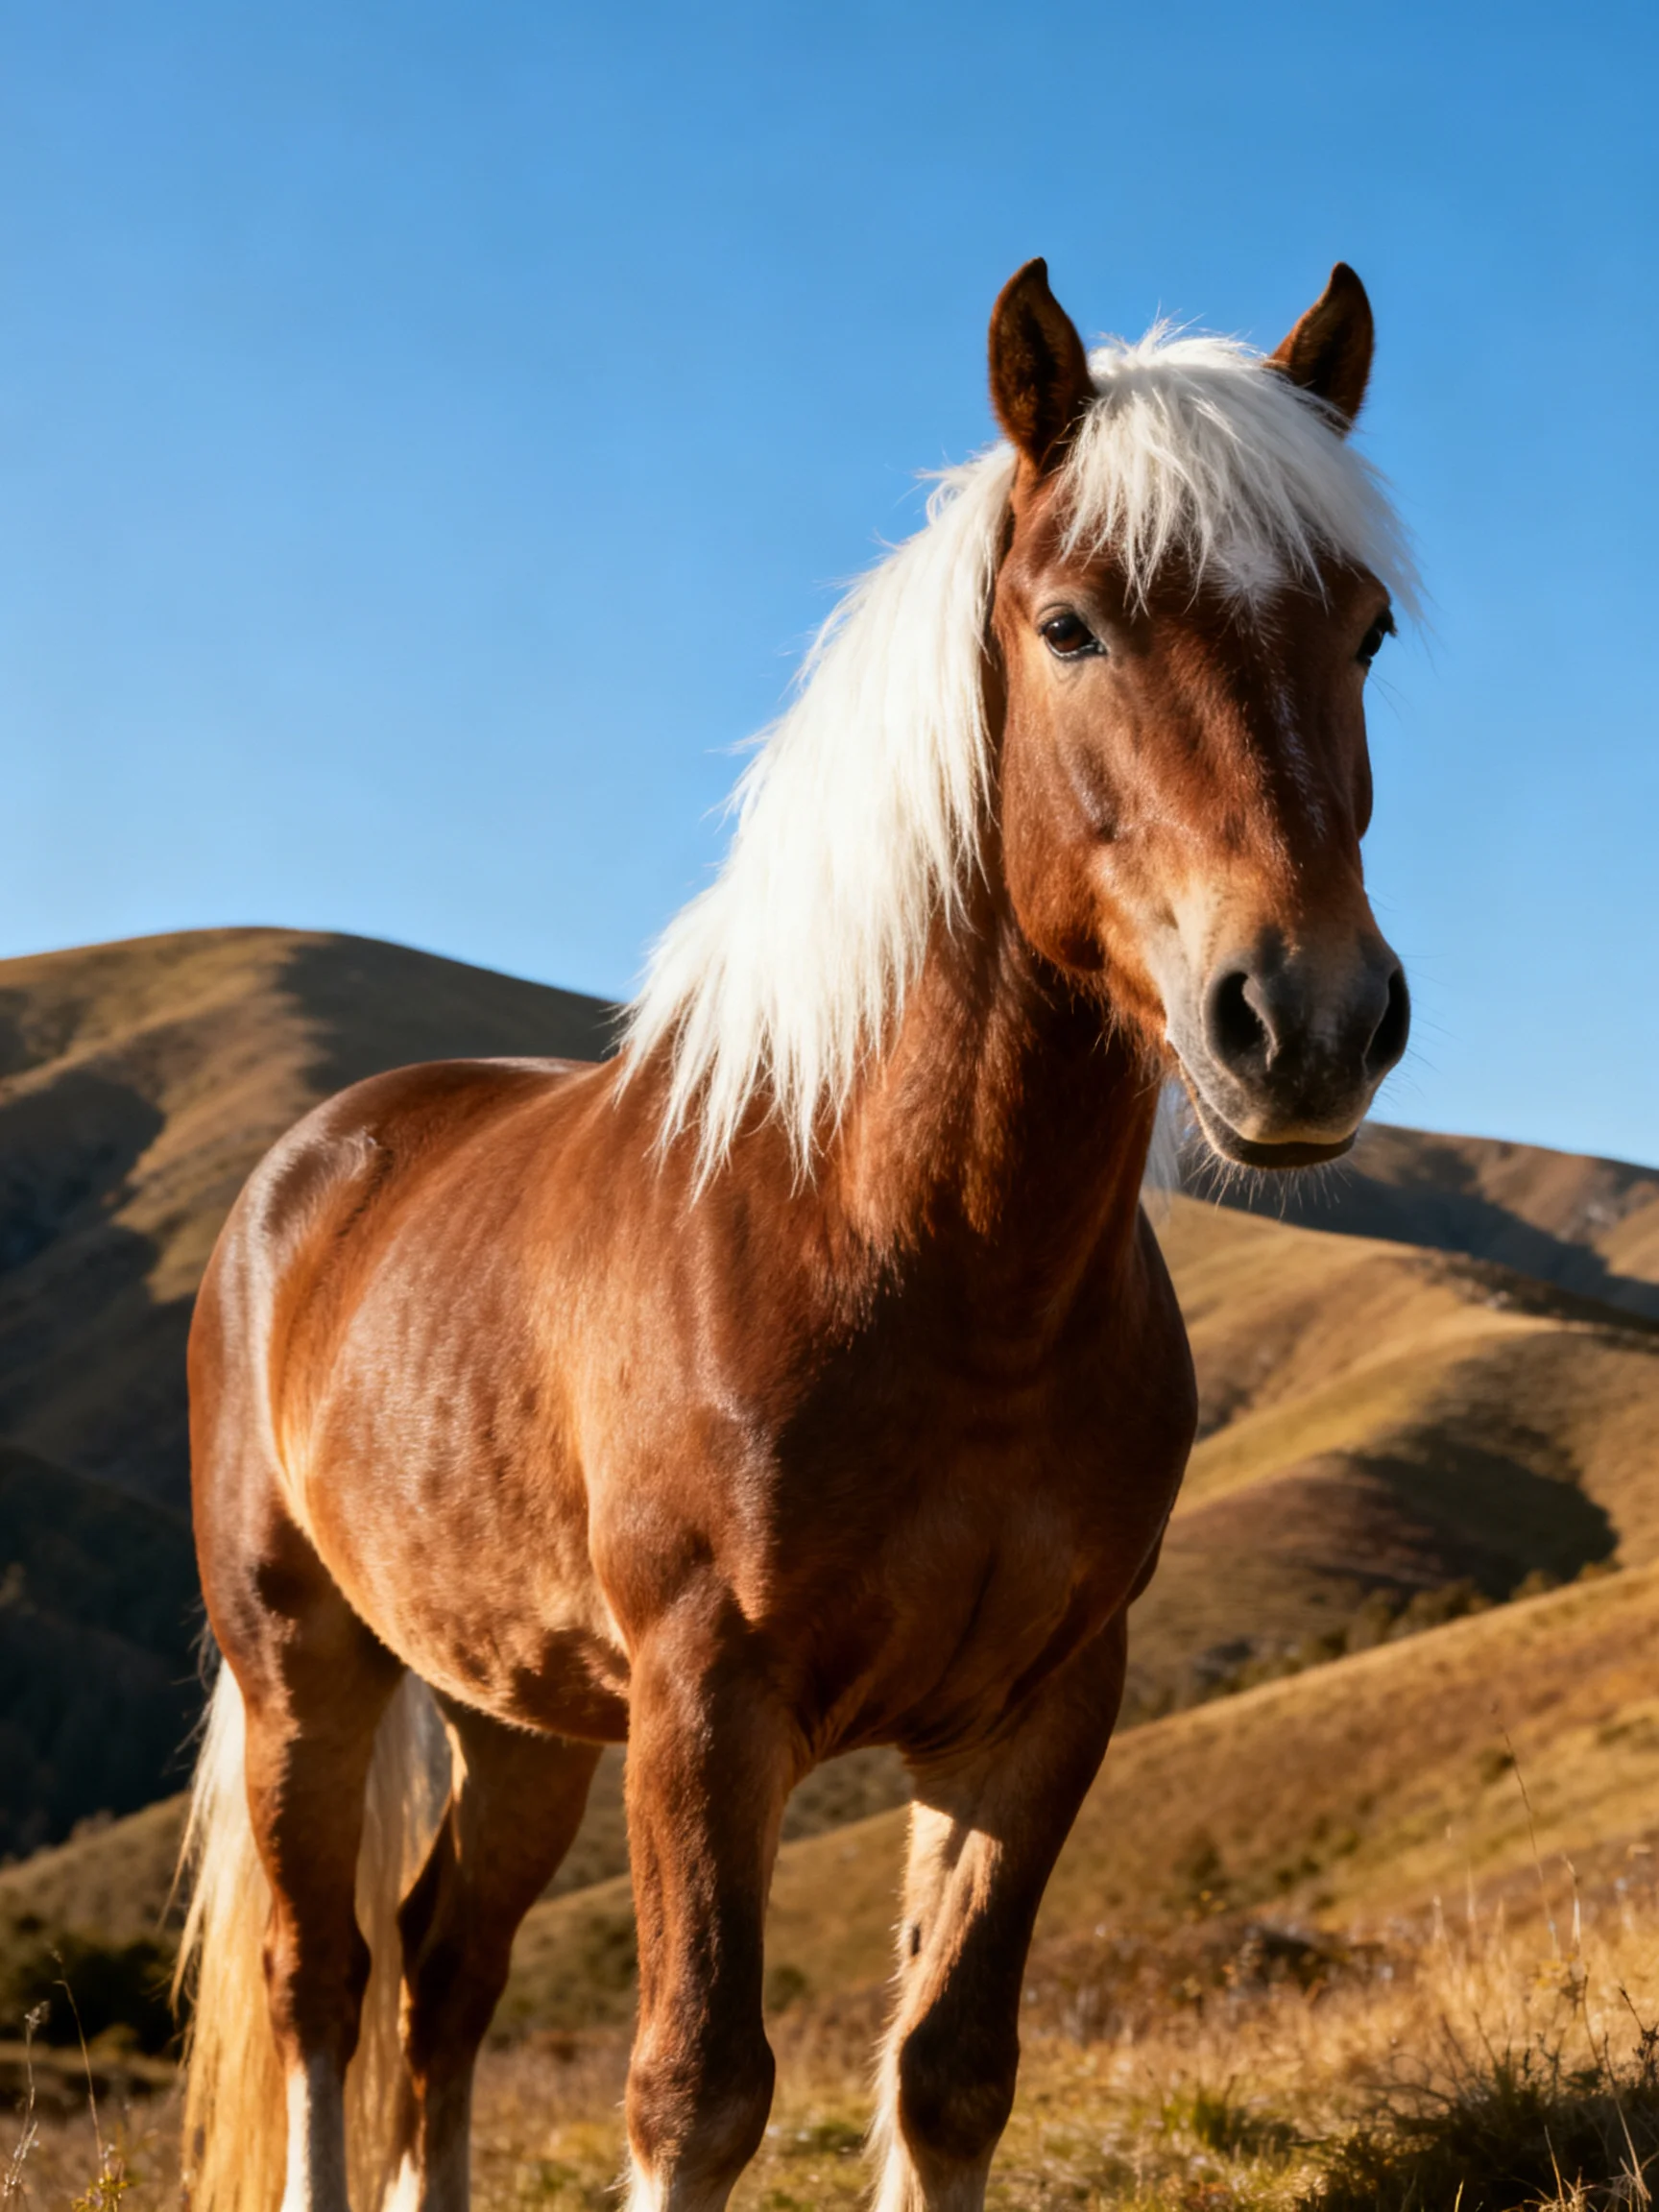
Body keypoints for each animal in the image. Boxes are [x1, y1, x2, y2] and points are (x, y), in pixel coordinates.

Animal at [174, 256, 1416, 2212]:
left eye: (1360, 633)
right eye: (1068, 626)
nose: (1304, 1021)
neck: (933, 1276)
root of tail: (304, 1171)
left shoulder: (1035, 1710)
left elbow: (950, 2072)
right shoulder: (709, 1704)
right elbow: (697, 2086)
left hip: (515, 1709)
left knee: (447, 1970)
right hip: (306, 1659)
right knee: (327, 1980)